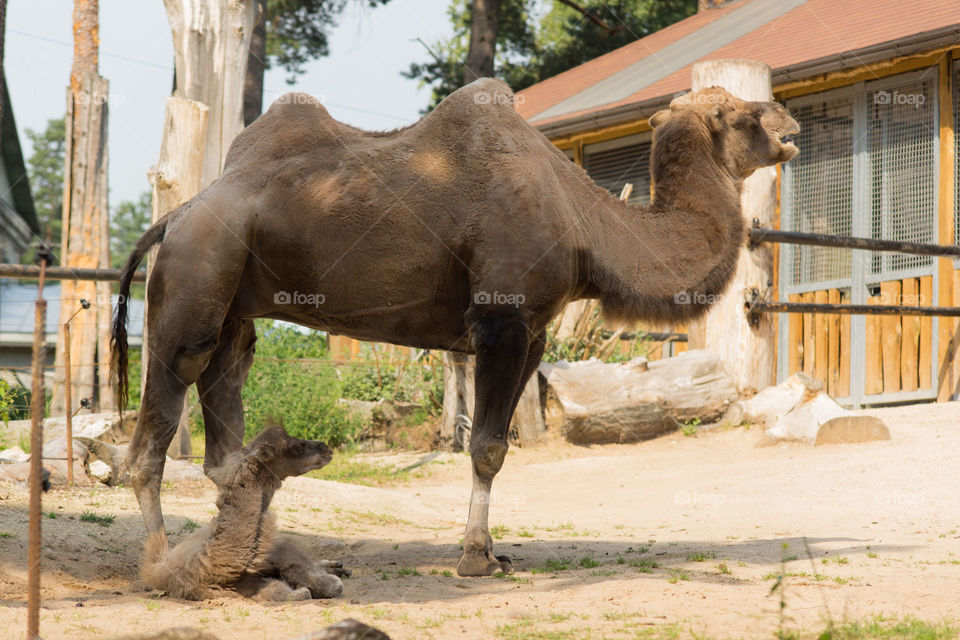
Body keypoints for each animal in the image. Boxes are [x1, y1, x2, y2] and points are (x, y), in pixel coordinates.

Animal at [112, 79, 798, 577]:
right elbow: (488, 446)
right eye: (740, 114)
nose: (788, 124)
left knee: (226, 420)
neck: (583, 221)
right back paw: (159, 564)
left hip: (234, 305)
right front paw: (474, 558)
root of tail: (178, 213)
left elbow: (500, 440)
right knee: (153, 433)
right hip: (194, 280)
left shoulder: (535, 333)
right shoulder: (501, 319)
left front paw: (492, 550)